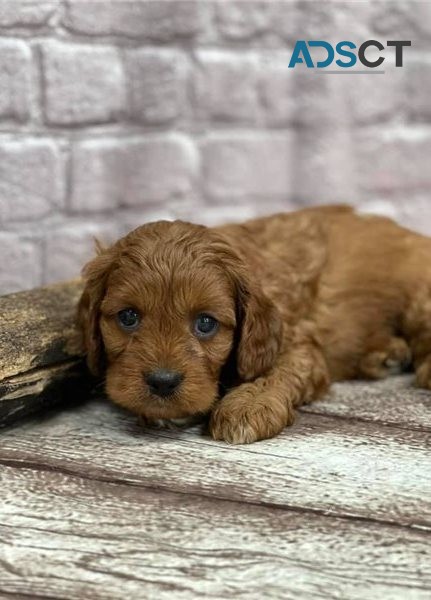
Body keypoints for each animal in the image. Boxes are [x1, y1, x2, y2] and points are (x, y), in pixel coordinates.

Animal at [77, 206, 431, 446]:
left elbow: (277, 374)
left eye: (205, 323)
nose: (163, 383)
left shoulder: (297, 344)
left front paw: (247, 407)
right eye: (128, 317)